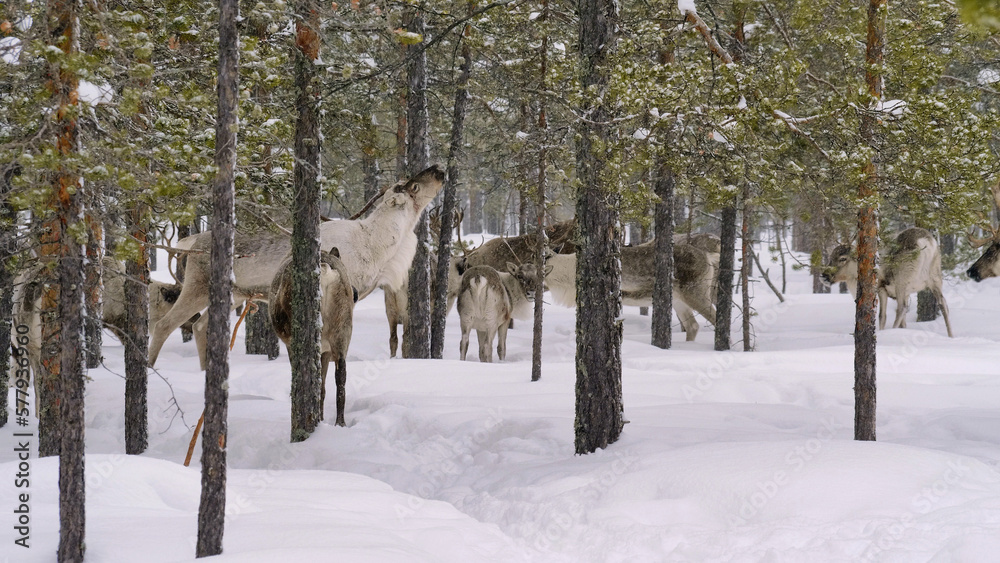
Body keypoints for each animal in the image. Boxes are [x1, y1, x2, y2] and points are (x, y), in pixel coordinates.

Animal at [147, 164, 445, 368]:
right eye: (411, 186)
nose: (438, 169)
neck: (379, 249)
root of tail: (194, 240)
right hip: (197, 286)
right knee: (164, 324)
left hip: (235, 294)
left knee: (200, 326)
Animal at [269, 247, 357, 426]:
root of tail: (325, 270)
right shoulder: (327, 350)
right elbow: (323, 386)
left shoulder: (291, 345)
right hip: (343, 329)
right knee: (341, 375)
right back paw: (340, 423)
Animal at [822, 227, 953, 337]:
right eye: (830, 257)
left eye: (843, 258)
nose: (824, 275)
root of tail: (926, 242)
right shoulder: (907, 293)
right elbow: (903, 323)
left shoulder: (881, 287)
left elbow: (882, 316)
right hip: (935, 277)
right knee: (943, 304)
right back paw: (951, 336)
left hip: (902, 280)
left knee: (901, 308)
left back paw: (892, 330)